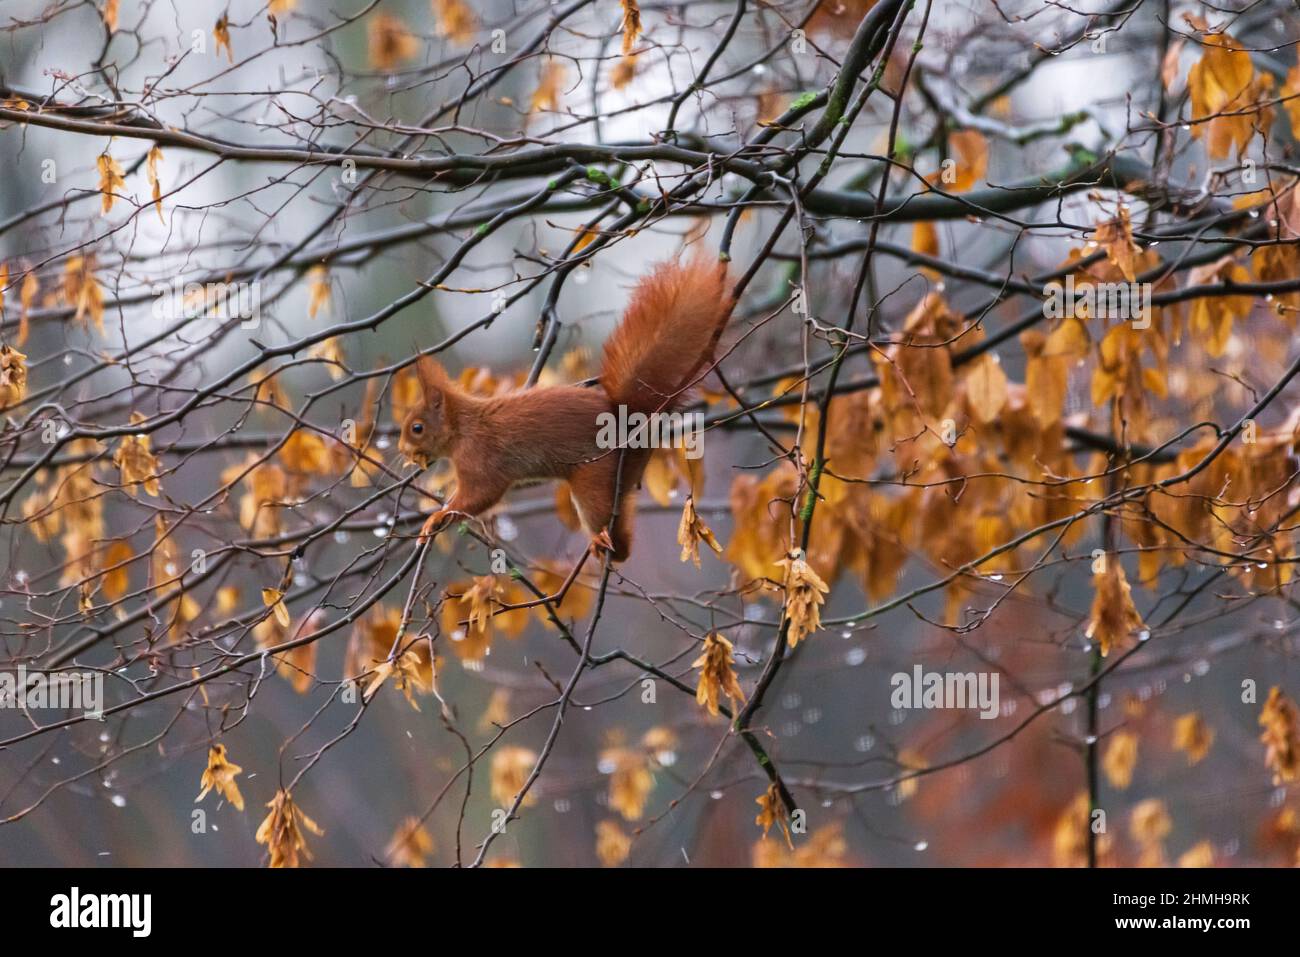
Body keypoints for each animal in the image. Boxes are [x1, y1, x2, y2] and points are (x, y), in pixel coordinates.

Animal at [398, 253, 735, 561]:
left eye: (417, 428)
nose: (402, 450)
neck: (463, 427)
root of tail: (627, 421)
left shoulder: (481, 461)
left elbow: (478, 497)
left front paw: (437, 518)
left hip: (594, 479)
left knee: (603, 518)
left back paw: (602, 542)